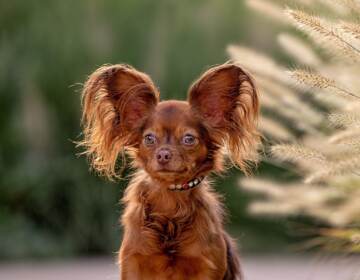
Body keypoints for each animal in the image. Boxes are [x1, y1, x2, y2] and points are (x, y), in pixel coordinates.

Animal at [79, 62, 258, 278]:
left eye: (189, 139)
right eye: (149, 138)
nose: (163, 154)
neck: (171, 200)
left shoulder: (207, 266)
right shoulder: (133, 263)